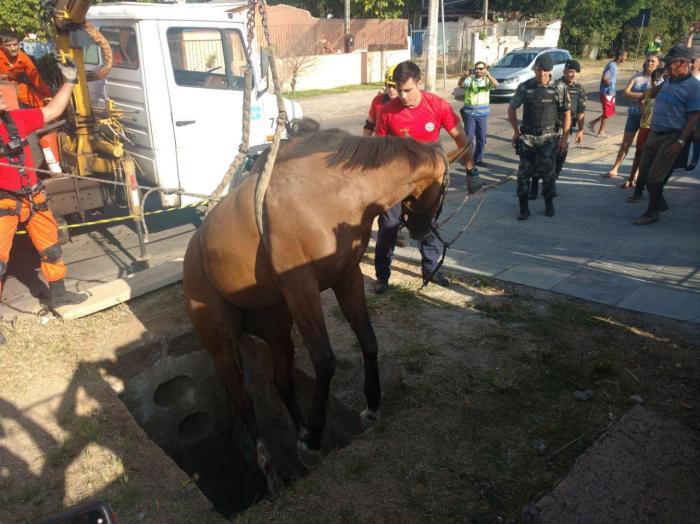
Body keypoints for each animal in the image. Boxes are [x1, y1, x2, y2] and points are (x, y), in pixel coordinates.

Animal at [183, 131, 468, 470]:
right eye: (444, 192)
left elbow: (368, 341)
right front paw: (317, 436)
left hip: (277, 327)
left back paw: (301, 432)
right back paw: (266, 452)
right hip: (221, 341)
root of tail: (195, 249)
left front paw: (371, 406)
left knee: (282, 381)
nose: (421, 230)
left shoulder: (348, 277)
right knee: (240, 393)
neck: (332, 194)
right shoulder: (301, 288)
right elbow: (324, 360)